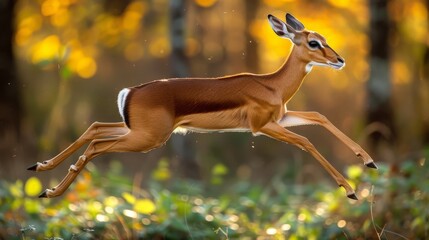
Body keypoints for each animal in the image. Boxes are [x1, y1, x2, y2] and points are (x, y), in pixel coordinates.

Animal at [27, 12, 374, 199]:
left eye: (324, 38)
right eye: (313, 42)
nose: (339, 60)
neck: (272, 86)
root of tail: (131, 91)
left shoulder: (283, 118)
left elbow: (319, 115)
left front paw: (369, 161)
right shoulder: (262, 126)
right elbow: (306, 141)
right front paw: (351, 190)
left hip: (135, 131)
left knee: (95, 128)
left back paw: (42, 174)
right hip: (147, 139)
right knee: (97, 146)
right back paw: (50, 190)